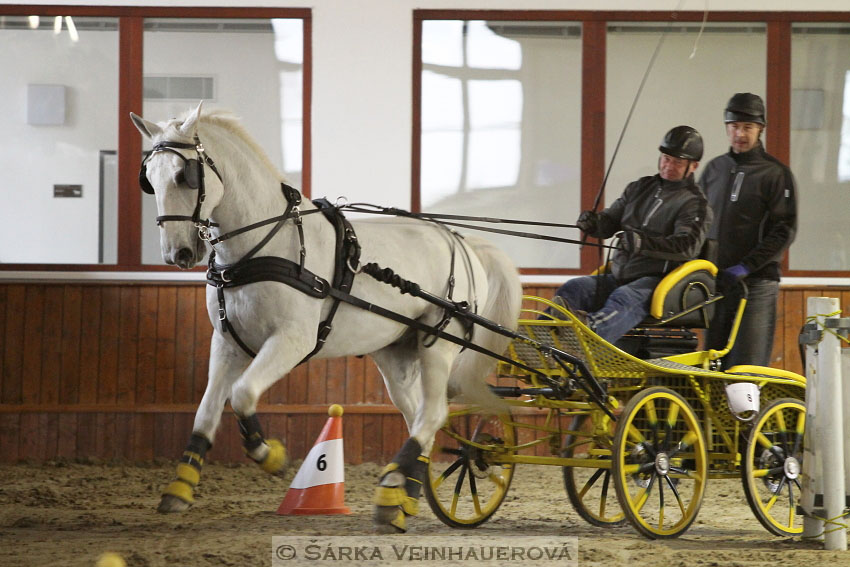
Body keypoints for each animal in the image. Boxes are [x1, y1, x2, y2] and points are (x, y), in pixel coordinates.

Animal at [129, 102, 520, 532]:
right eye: (149, 179)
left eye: (185, 176)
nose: (177, 253)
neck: (263, 245)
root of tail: (462, 241)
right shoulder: (227, 344)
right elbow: (206, 410)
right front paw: (179, 488)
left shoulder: (291, 341)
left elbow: (242, 393)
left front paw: (270, 455)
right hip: (396, 355)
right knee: (422, 417)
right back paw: (405, 498)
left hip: (439, 344)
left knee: (433, 412)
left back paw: (392, 489)